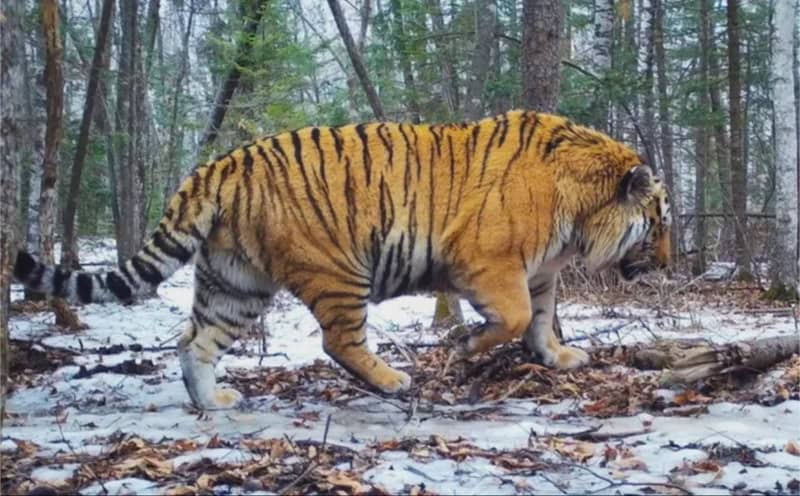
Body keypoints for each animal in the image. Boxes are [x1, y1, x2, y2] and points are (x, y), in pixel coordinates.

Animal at [13, 110, 671, 410]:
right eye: (660, 222)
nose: (667, 263)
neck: (579, 213)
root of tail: (220, 164)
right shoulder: (489, 263)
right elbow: (509, 318)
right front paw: (464, 348)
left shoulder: (539, 273)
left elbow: (539, 320)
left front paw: (558, 357)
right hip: (338, 271)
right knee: (339, 342)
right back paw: (392, 380)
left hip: (234, 283)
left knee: (193, 342)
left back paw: (213, 402)